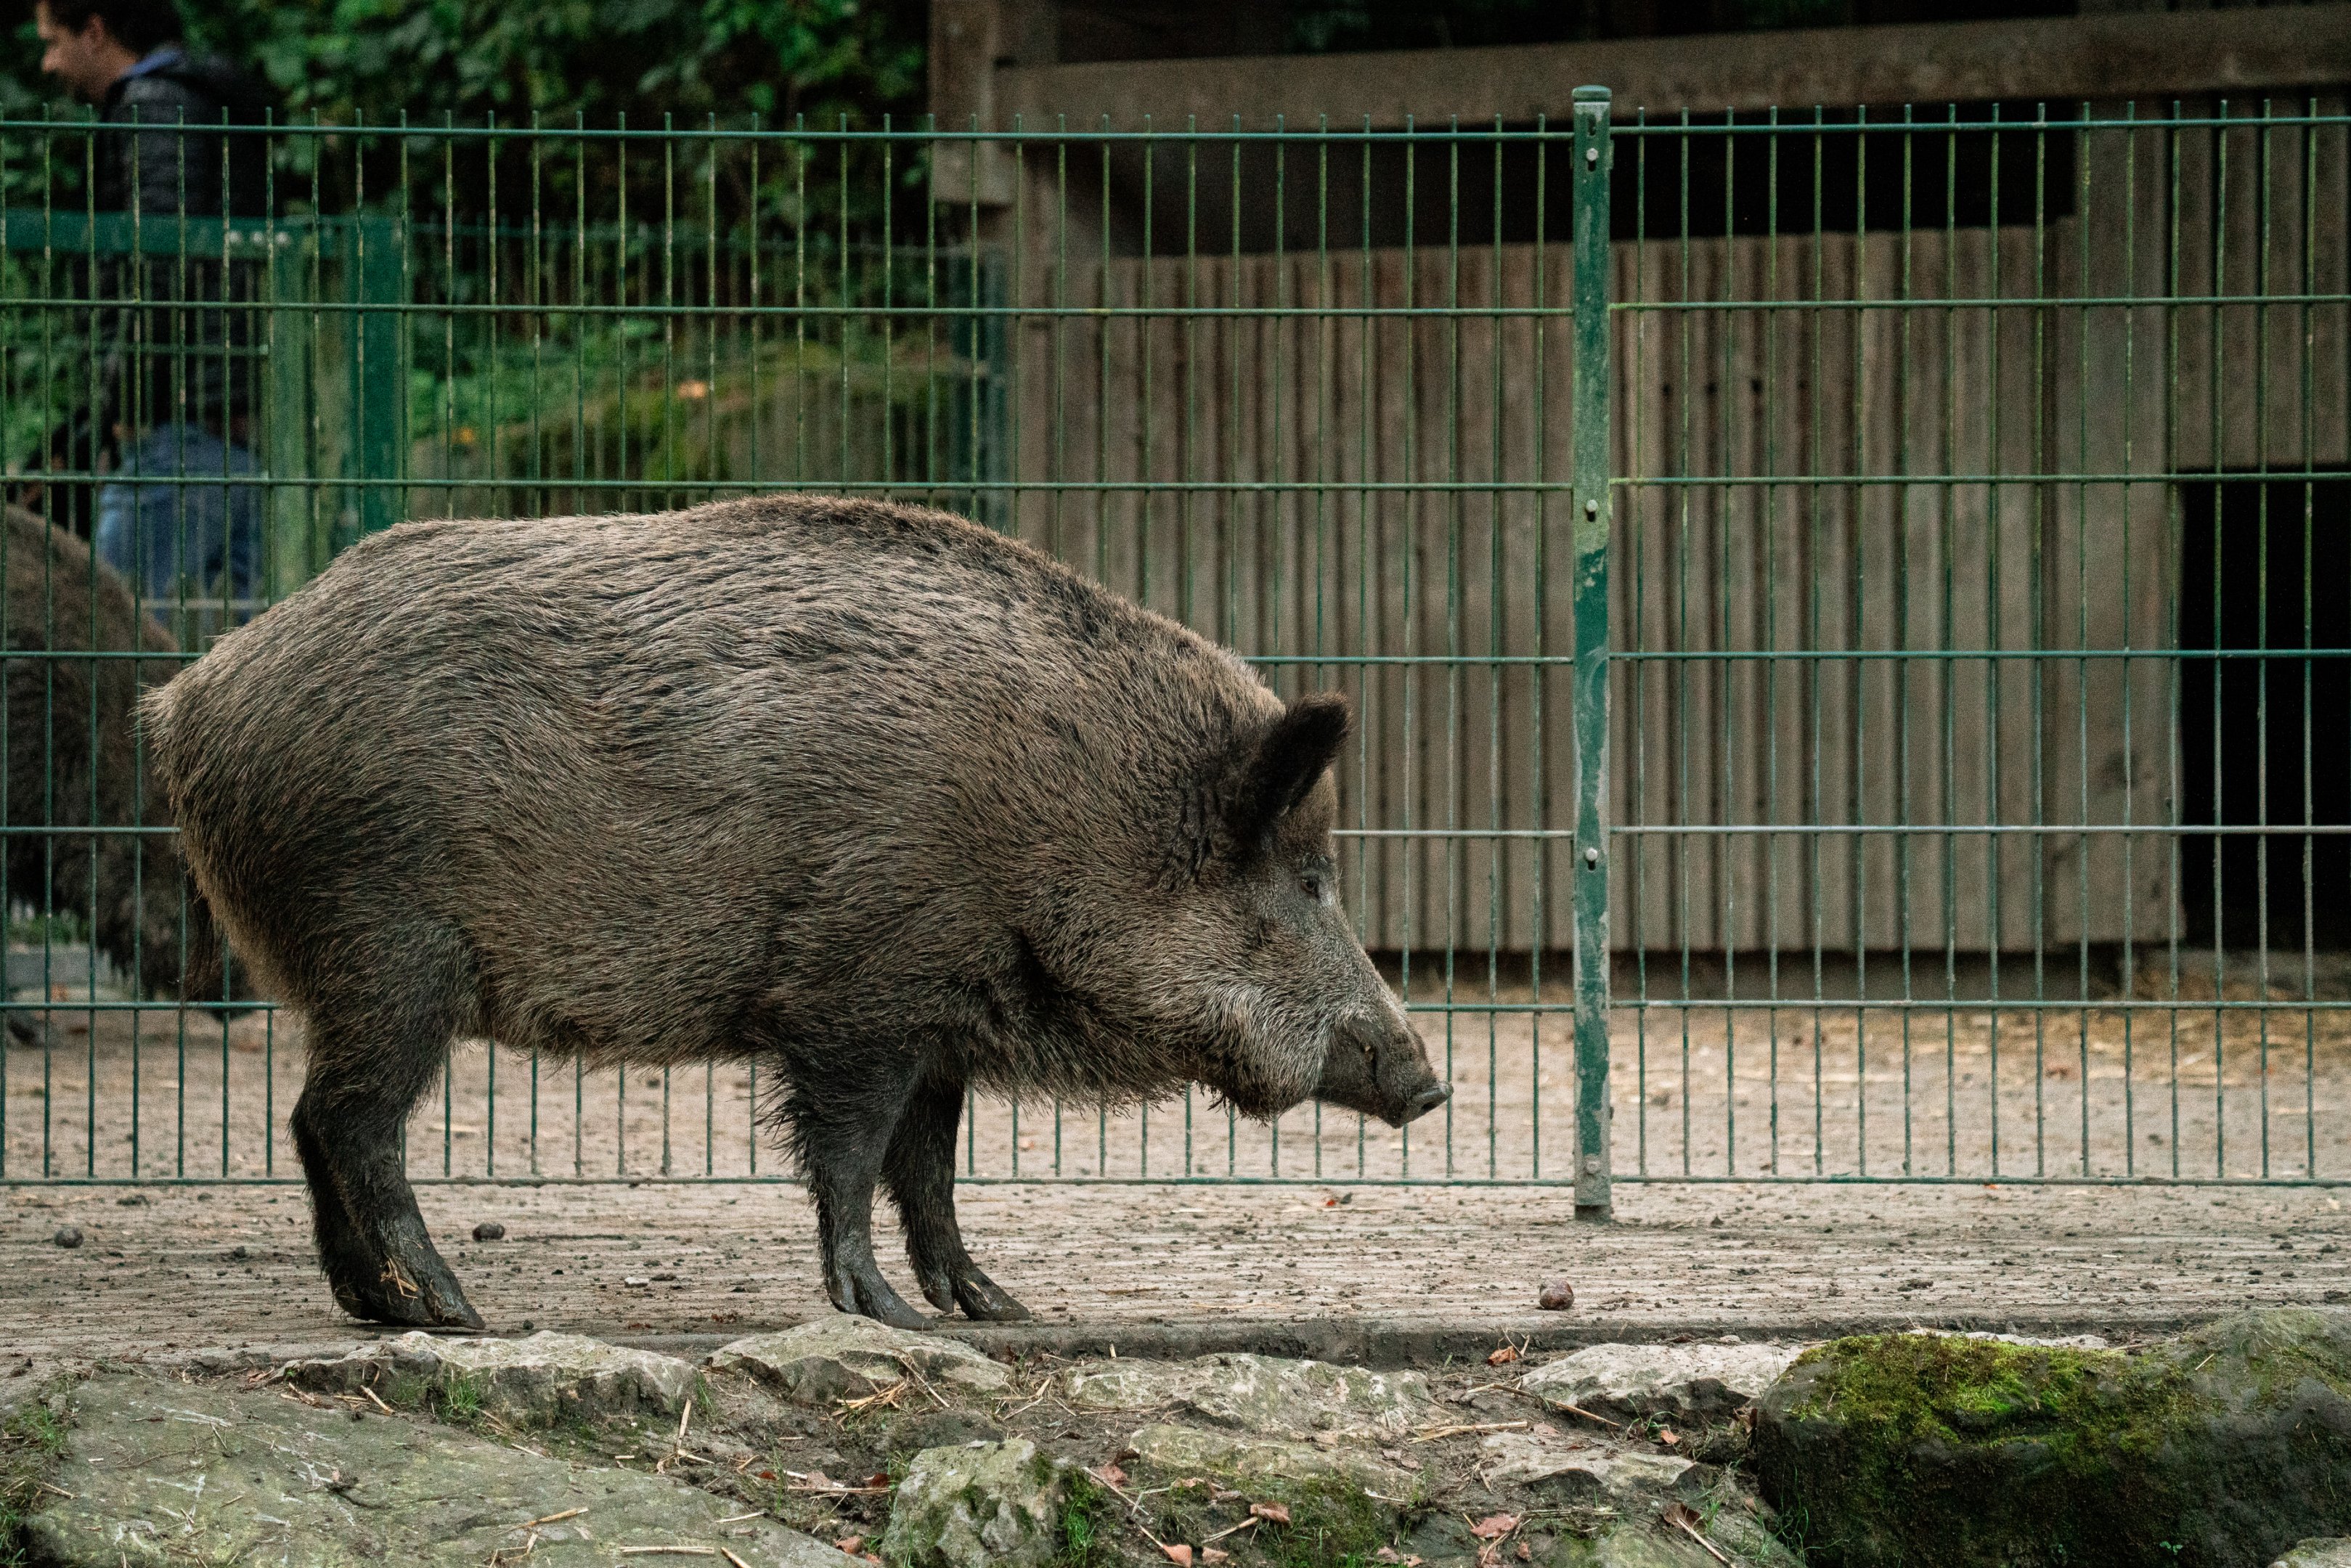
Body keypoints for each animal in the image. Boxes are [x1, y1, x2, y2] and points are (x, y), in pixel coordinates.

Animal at [140, 494, 1450, 1330]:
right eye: (1310, 880)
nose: (1428, 1084)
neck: (1063, 816)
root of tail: (191, 699)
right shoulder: (855, 993)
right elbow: (853, 1157)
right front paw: (883, 1319)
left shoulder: (937, 1018)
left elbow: (932, 1174)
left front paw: (999, 1310)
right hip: (389, 953)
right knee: (351, 1123)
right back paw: (462, 1316)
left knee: (308, 1122)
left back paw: (379, 1312)